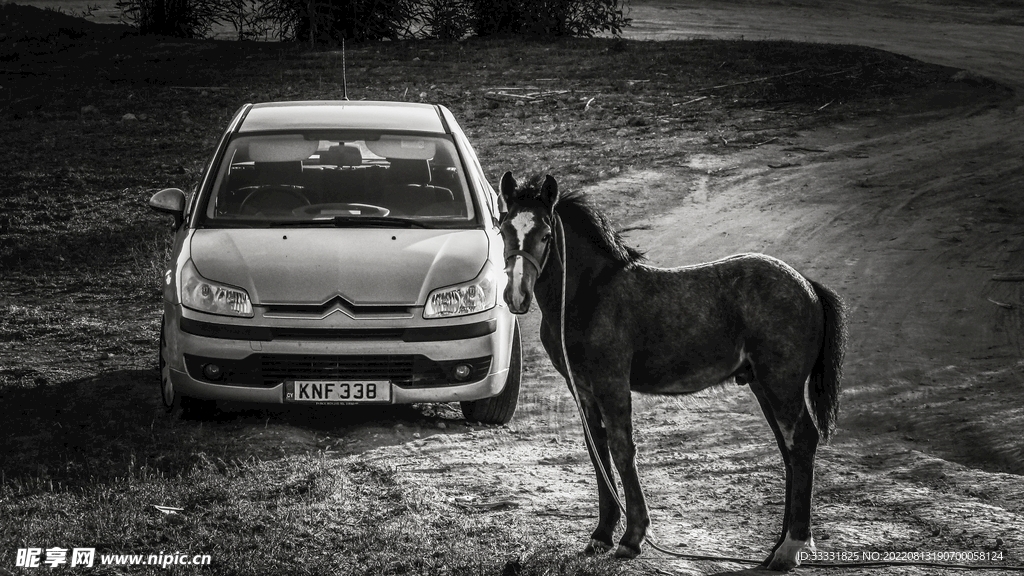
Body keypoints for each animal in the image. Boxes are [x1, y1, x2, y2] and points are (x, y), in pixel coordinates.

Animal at [497, 172, 847, 571]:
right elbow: (597, 451)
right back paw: (777, 547)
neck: (590, 295)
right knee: (788, 449)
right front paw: (601, 535)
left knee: (801, 441)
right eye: (504, 229)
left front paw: (632, 539)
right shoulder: (581, 388)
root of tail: (807, 286)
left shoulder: (612, 383)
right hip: (763, 384)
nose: (517, 297)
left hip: (782, 383)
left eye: (545, 234)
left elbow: (621, 449)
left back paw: (792, 547)